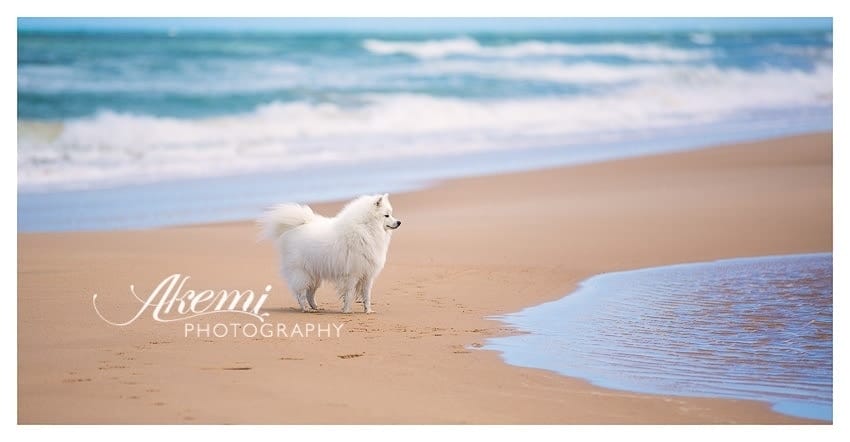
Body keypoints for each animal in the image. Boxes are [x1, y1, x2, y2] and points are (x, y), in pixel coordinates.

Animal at [258, 194, 400, 314]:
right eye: (386, 215)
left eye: (390, 214)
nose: (399, 222)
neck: (366, 228)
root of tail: (296, 227)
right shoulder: (352, 274)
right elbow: (349, 294)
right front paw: (346, 311)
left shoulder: (367, 275)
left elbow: (367, 295)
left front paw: (368, 311)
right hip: (302, 273)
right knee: (301, 293)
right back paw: (306, 309)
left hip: (314, 275)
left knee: (310, 293)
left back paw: (315, 307)